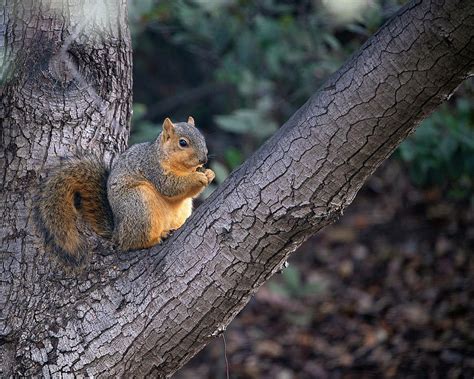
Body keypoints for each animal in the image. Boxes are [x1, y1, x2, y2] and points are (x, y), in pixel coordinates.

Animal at [35, 117, 215, 266]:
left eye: (202, 138)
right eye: (183, 143)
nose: (204, 159)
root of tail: (118, 233)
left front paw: (209, 173)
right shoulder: (153, 169)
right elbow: (170, 186)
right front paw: (197, 177)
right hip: (139, 204)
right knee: (132, 243)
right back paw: (156, 238)